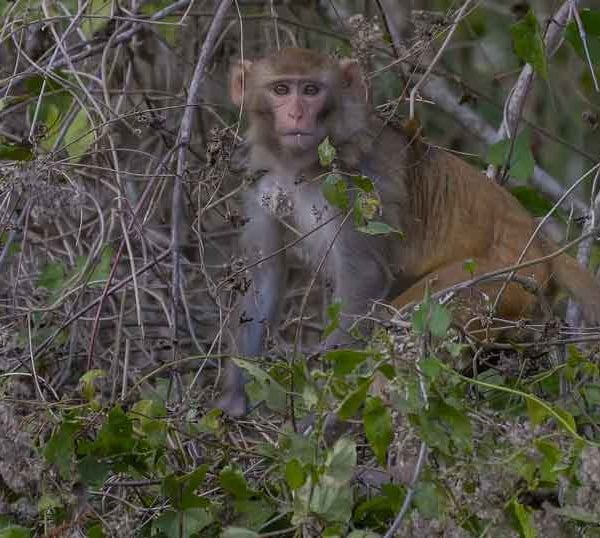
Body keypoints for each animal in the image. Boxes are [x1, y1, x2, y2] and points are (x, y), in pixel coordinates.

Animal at [217, 47, 600, 414]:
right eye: (281, 89)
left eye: (311, 90)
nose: (296, 114)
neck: (301, 165)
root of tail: (541, 244)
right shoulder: (261, 180)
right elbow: (264, 276)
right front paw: (233, 401)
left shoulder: (356, 186)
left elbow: (365, 277)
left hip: (501, 282)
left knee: (408, 319)